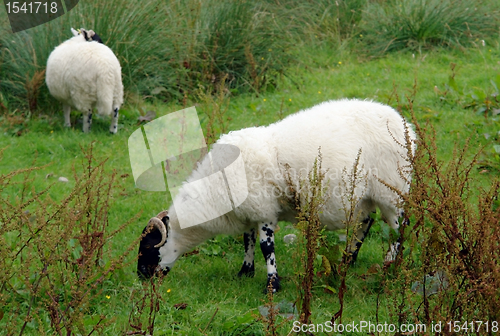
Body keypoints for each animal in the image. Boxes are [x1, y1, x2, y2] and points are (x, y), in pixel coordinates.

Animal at [138, 99, 418, 292]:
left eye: (148, 248)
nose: (141, 277)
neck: (217, 187)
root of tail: (404, 125)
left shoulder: (264, 210)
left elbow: (266, 247)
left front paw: (272, 284)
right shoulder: (251, 211)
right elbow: (248, 241)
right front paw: (245, 272)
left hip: (393, 189)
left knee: (399, 227)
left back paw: (389, 264)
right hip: (365, 197)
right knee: (365, 222)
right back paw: (347, 261)